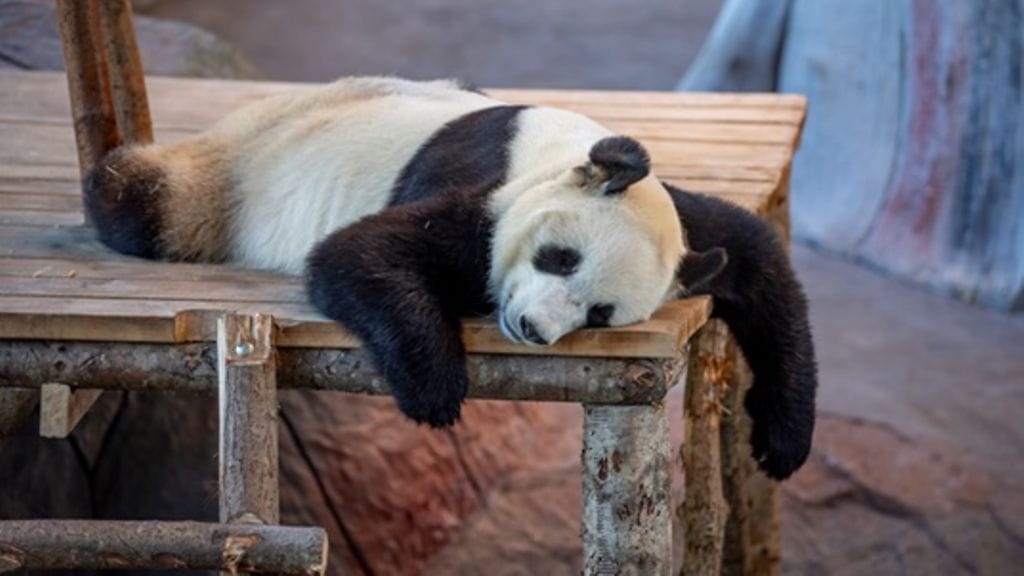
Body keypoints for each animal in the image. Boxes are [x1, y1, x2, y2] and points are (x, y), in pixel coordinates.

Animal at [84, 76, 816, 480]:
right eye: (561, 258)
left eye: (600, 313)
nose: (532, 328)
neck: (554, 151)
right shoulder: (492, 193)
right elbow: (356, 254)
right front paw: (434, 390)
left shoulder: (674, 218)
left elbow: (757, 256)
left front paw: (783, 442)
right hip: (227, 182)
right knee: (140, 202)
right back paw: (113, 177)